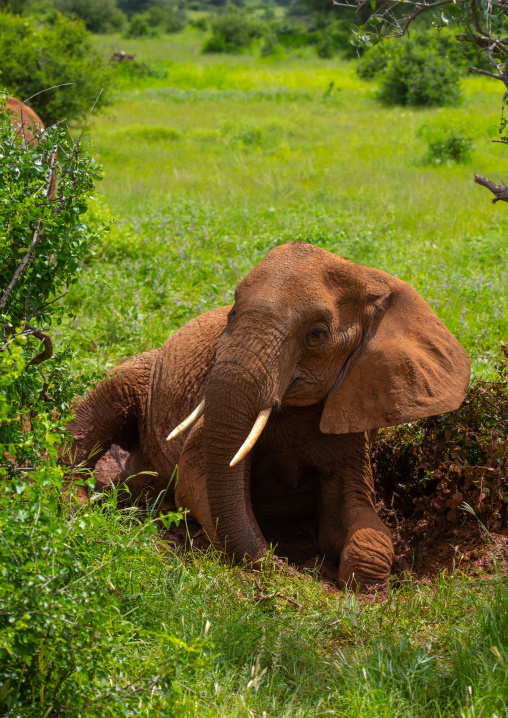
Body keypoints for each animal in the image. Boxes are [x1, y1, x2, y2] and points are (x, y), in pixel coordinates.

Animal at [68, 242, 470, 589]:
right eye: (232, 313)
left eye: (317, 334)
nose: (296, 578)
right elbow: (197, 478)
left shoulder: (351, 412)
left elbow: (353, 509)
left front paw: (366, 589)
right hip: (141, 376)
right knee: (107, 398)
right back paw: (78, 504)